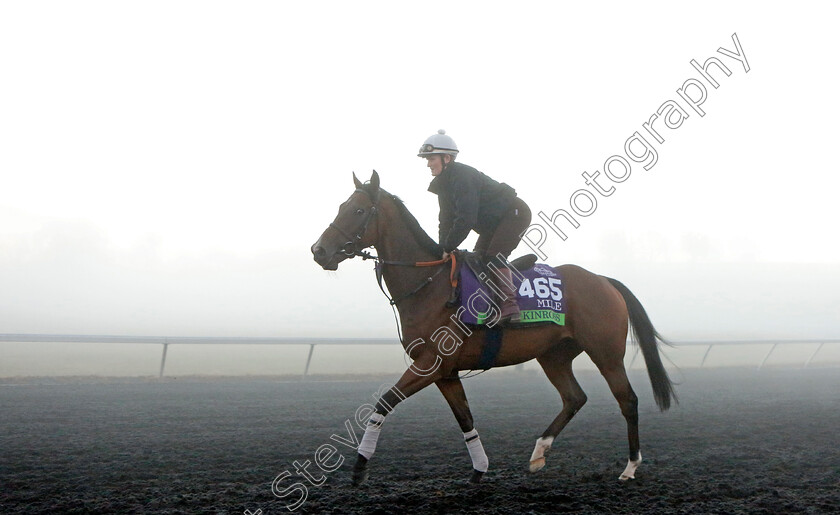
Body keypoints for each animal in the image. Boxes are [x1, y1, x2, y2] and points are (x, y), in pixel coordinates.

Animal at [308, 171, 676, 486]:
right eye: (341, 207)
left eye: (358, 210)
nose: (319, 251)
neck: (428, 284)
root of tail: (603, 280)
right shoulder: (445, 372)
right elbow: (466, 420)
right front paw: (479, 469)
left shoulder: (430, 364)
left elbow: (383, 403)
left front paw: (359, 468)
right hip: (553, 355)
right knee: (574, 397)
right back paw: (538, 453)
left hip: (606, 353)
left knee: (627, 400)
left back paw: (630, 467)